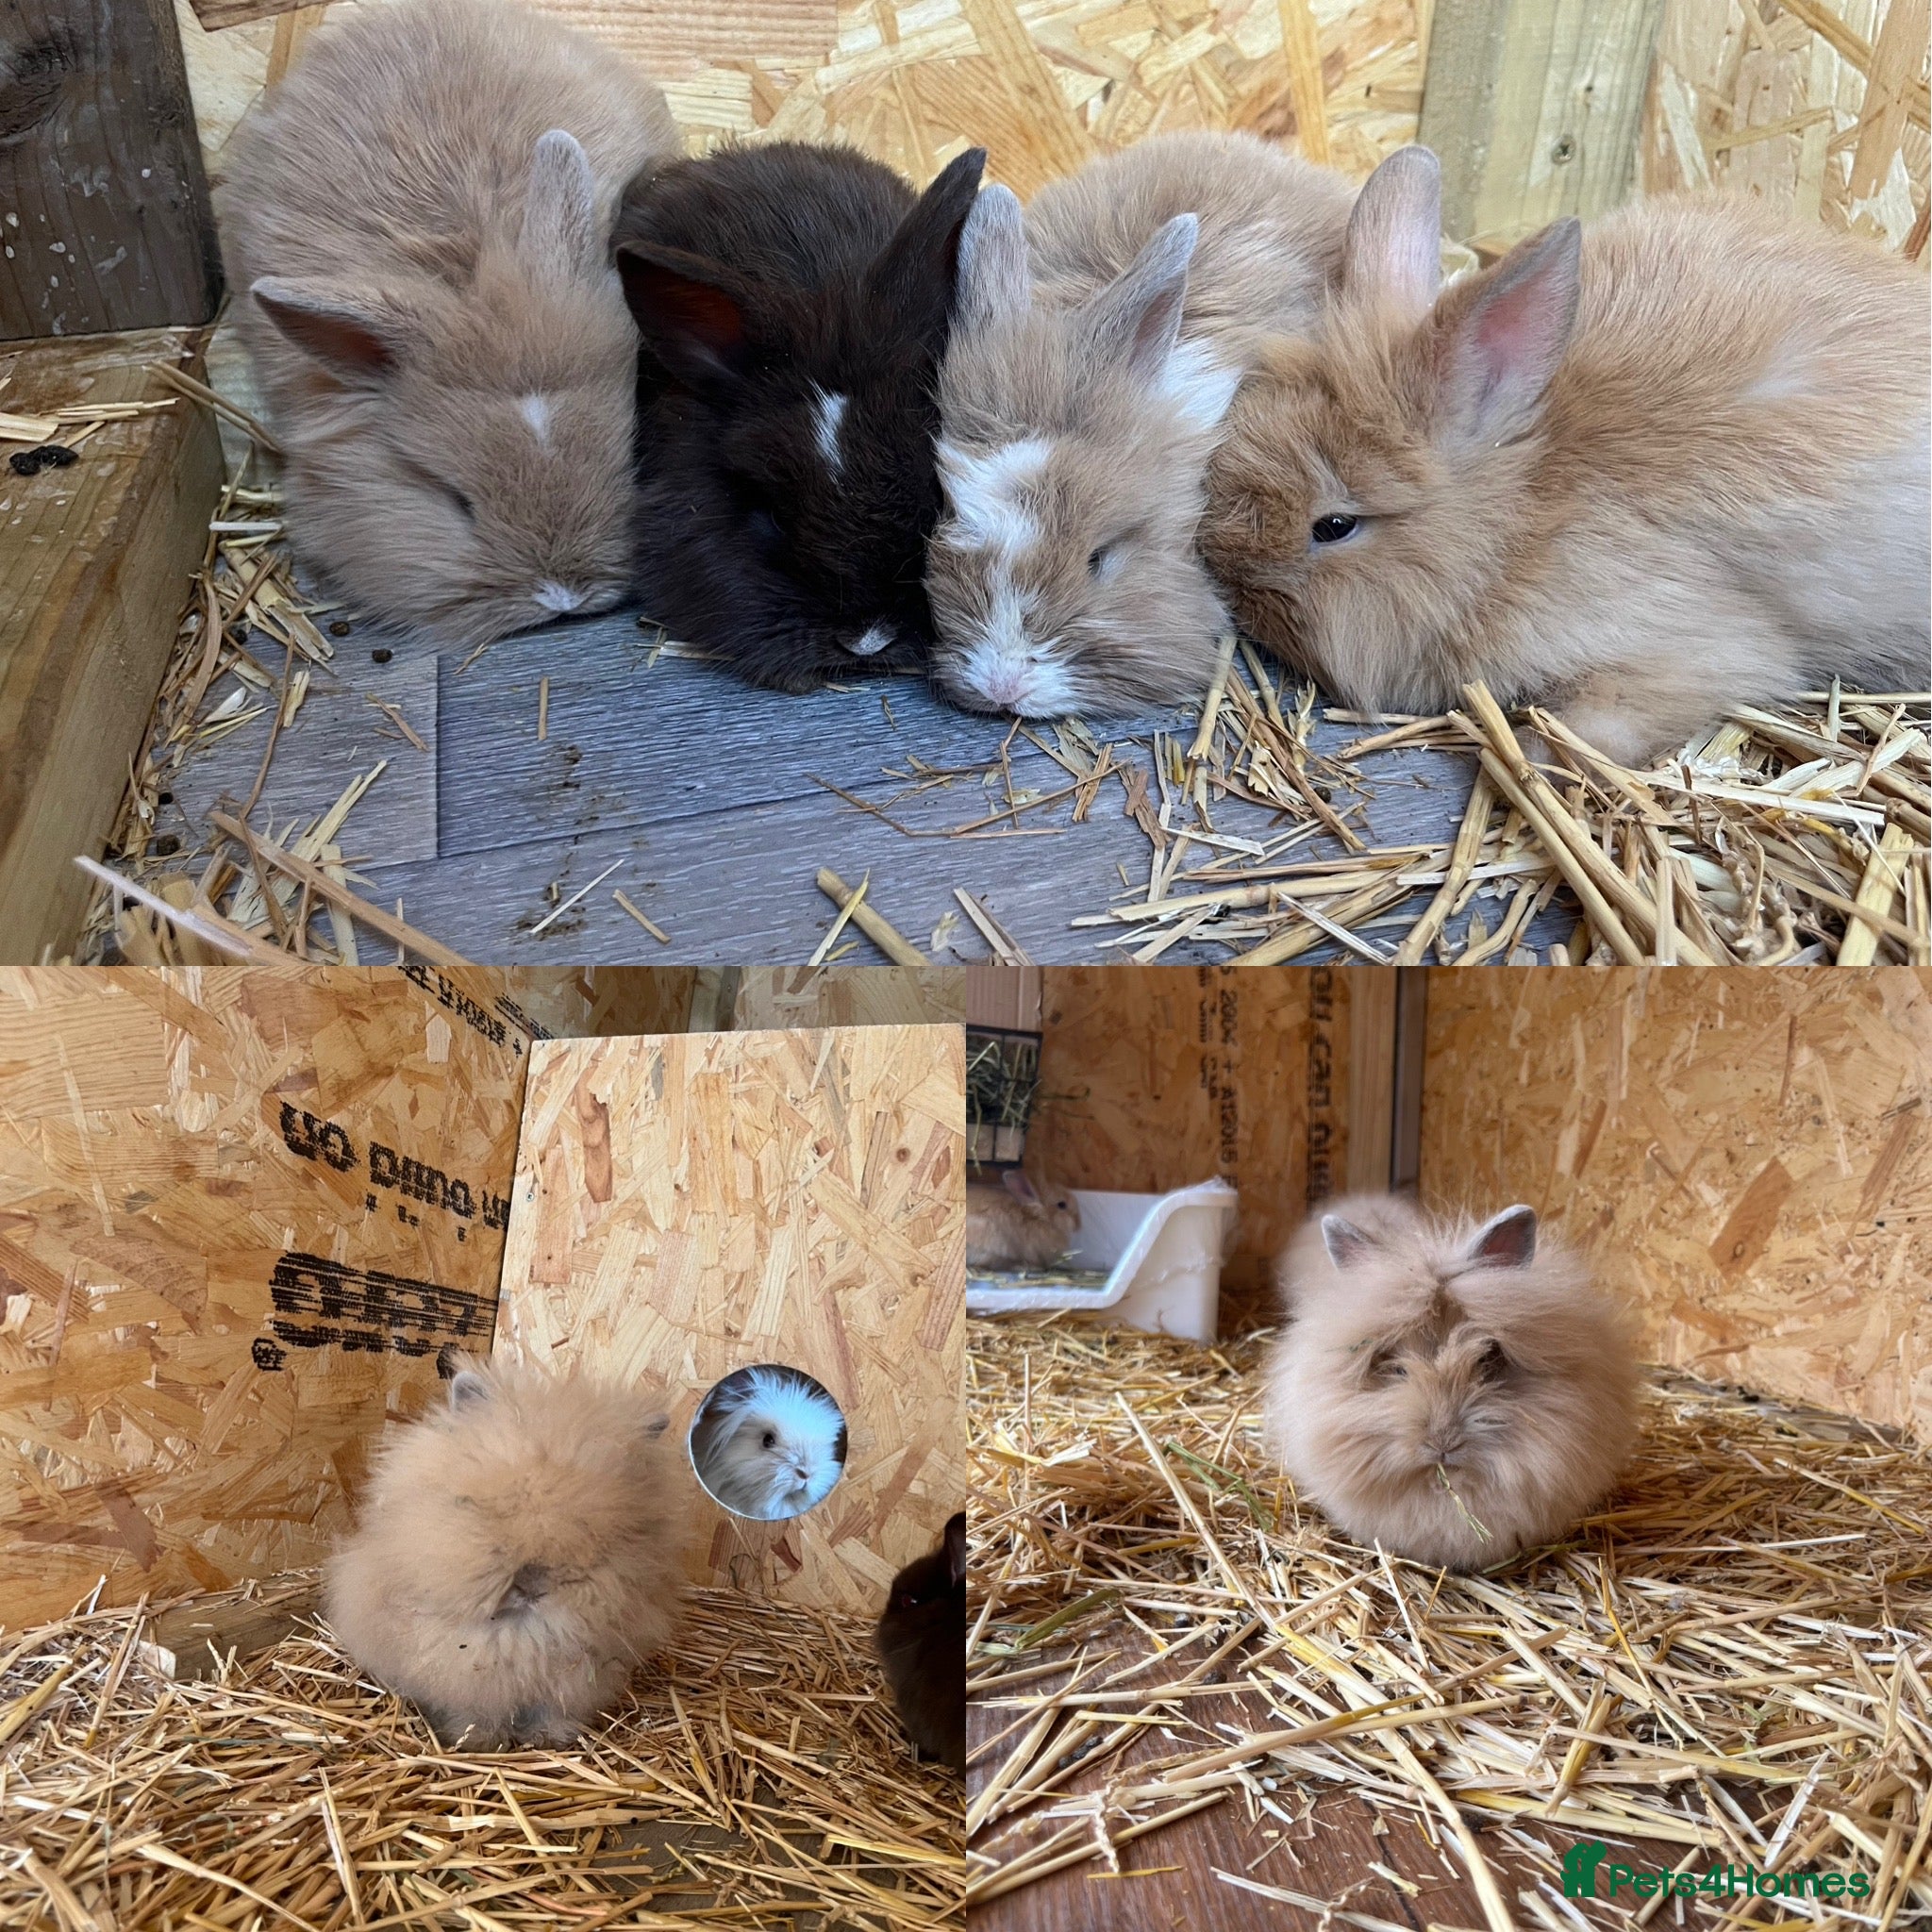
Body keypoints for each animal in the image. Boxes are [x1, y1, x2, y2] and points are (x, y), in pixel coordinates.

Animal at [323, 1356, 687, 1748]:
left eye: (597, 1530)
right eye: (490, 1509)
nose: (532, 1585)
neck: (522, 1633)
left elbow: (549, 1713)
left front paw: (548, 1739)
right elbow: (475, 1714)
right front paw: (477, 1742)